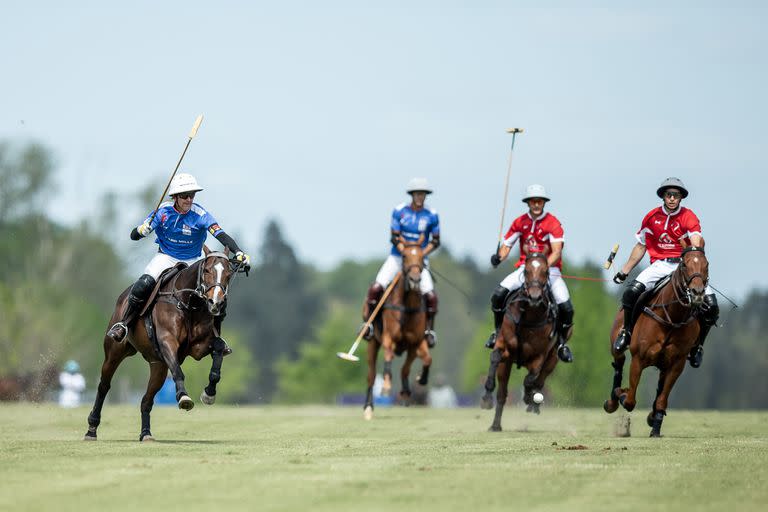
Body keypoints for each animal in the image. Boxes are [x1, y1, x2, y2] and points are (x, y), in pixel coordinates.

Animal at [84, 248, 246, 440]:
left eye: (228, 274)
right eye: (206, 271)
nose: (216, 303)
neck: (188, 303)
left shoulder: (199, 347)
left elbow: (218, 351)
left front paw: (209, 394)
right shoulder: (167, 341)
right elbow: (177, 371)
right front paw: (183, 397)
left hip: (158, 365)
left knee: (146, 400)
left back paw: (146, 434)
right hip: (114, 351)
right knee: (104, 385)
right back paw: (91, 429)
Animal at [362, 236, 428, 420]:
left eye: (422, 257)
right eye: (404, 256)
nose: (415, 280)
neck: (407, 307)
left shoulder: (415, 343)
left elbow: (407, 368)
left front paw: (408, 389)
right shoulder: (388, 338)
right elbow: (389, 357)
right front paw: (385, 386)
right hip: (372, 343)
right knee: (370, 375)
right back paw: (368, 407)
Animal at [480, 250, 560, 430]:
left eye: (546, 271)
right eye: (526, 271)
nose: (535, 297)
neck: (529, 316)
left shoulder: (540, 355)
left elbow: (531, 378)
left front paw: (530, 398)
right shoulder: (504, 346)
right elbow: (495, 357)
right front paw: (486, 398)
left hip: (553, 359)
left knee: (540, 379)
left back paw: (533, 403)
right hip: (506, 365)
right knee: (502, 394)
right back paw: (495, 425)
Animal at [604, 247, 712, 436]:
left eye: (706, 264)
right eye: (684, 265)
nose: (698, 293)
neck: (672, 318)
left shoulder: (677, 364)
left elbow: (662, 399)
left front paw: (655, 426)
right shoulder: (638, 359)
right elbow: (630, 400)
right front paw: (622, 393)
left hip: (664, 364)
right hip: (616, 344)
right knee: (619, 362)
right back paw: (612, 401)